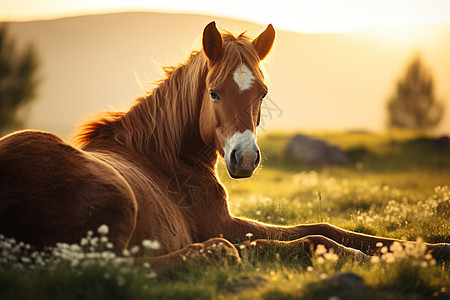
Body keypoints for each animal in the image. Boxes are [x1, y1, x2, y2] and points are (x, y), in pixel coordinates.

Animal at [0, 21, 450, 270]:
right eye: (214, 92)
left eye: (264, 93)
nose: (245, 159)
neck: (164, 159)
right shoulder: (224, 224)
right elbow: (313, 237)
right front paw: (369, 258)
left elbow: (324, 227)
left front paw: (433, 249)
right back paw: (216, 253)